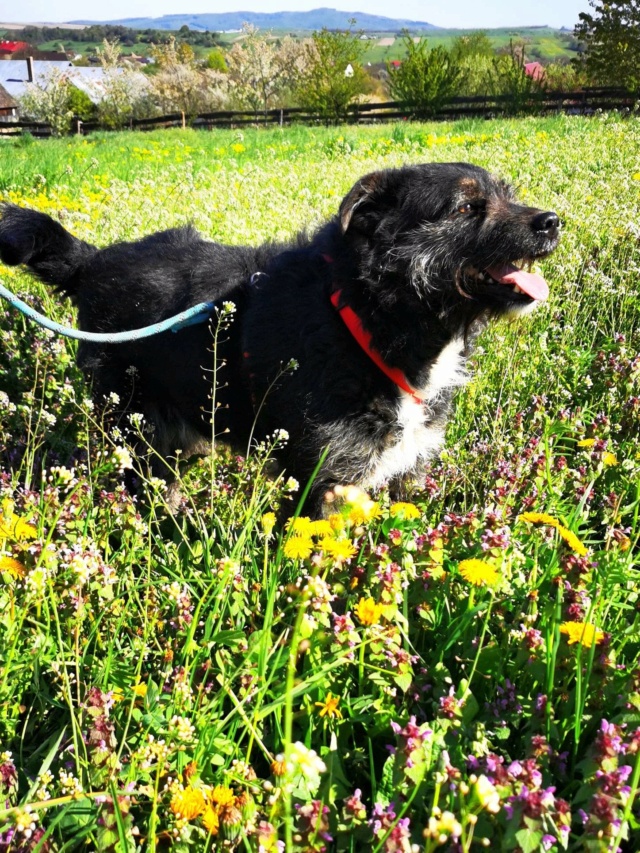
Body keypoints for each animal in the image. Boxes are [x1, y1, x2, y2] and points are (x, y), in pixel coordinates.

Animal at [0, 163, 560, 512]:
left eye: (508, 196)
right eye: (466, 208)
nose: (552, 221)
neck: (362, 315)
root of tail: (93, 261)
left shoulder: (405, 468)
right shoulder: (325, 479)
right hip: (134, 426)